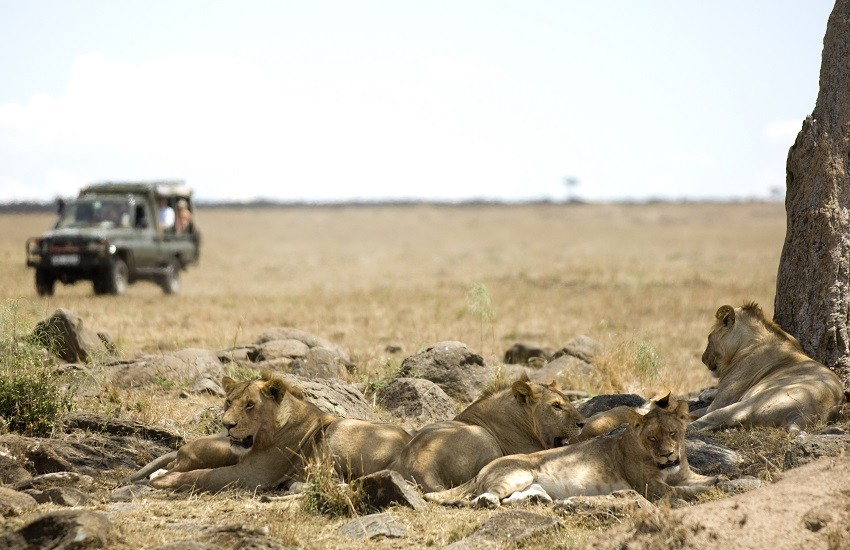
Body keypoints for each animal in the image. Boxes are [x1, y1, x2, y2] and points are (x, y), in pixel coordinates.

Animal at [141, 370, 412, 496]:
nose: (226, 425)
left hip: (339, 431)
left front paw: (163, 480)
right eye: (228, 402)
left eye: (250, 405)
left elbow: (203, 476)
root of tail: (408, 443)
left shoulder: (252, 475)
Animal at [424, 396, 716, 508]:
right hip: (517, 473)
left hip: (529, 482)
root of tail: (483, 469)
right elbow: (677, 492)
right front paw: (700, 492)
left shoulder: (684, 473)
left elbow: (705, 480)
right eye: (652, 437)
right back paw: (489, 501)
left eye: (673, 433)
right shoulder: (648, 486)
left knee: (514, 498)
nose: (667, 454)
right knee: (485, 496)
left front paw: (719, 482)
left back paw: (538, 500)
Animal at [688, 302, 840, 436]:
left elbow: (698, 411)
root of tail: (800, 418)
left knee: (712, 419)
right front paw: (706, 393)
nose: (703, 359)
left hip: (748, 404)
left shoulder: (721, 401)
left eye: (709, 338)